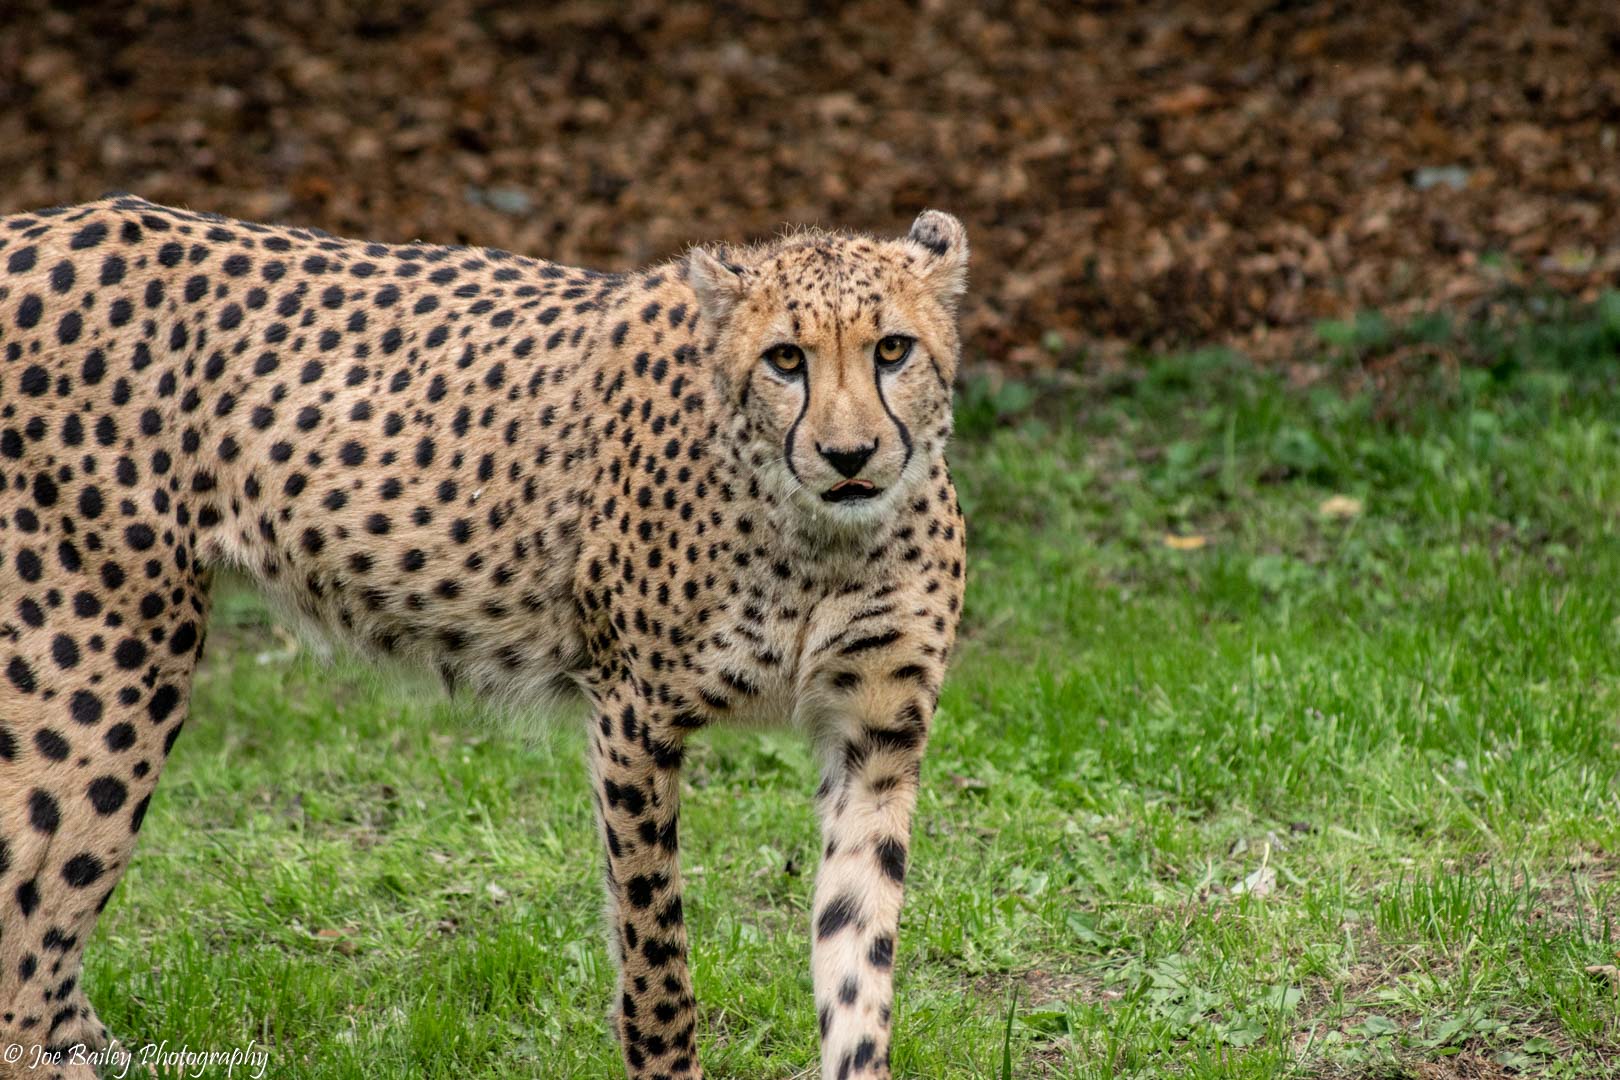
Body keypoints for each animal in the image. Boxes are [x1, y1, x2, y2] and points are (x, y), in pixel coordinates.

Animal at [0, 196, 959, 1080]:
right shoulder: (634, 719)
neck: (823, 541)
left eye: (893, 350)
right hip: (106, 675)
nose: (848, 456)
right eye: (786, 359)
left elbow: (857, 963)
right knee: (27, 953)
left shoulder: (876, 742)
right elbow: (657, 959)